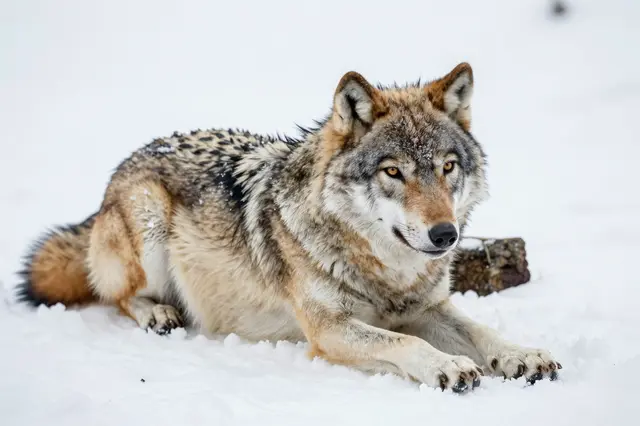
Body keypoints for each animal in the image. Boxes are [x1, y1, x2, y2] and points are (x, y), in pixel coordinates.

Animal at [16, 63, 561, 392]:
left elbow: (483, 332)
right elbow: (406, 343)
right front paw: (447, 365)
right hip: (148, 220)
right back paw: (158, 314)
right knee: (120, 297)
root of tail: (126, 164)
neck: (384, 271)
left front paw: (523, 355)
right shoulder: (329, 329)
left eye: (448, 167)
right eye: (393, 172)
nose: (445, 235)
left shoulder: (429, 308)